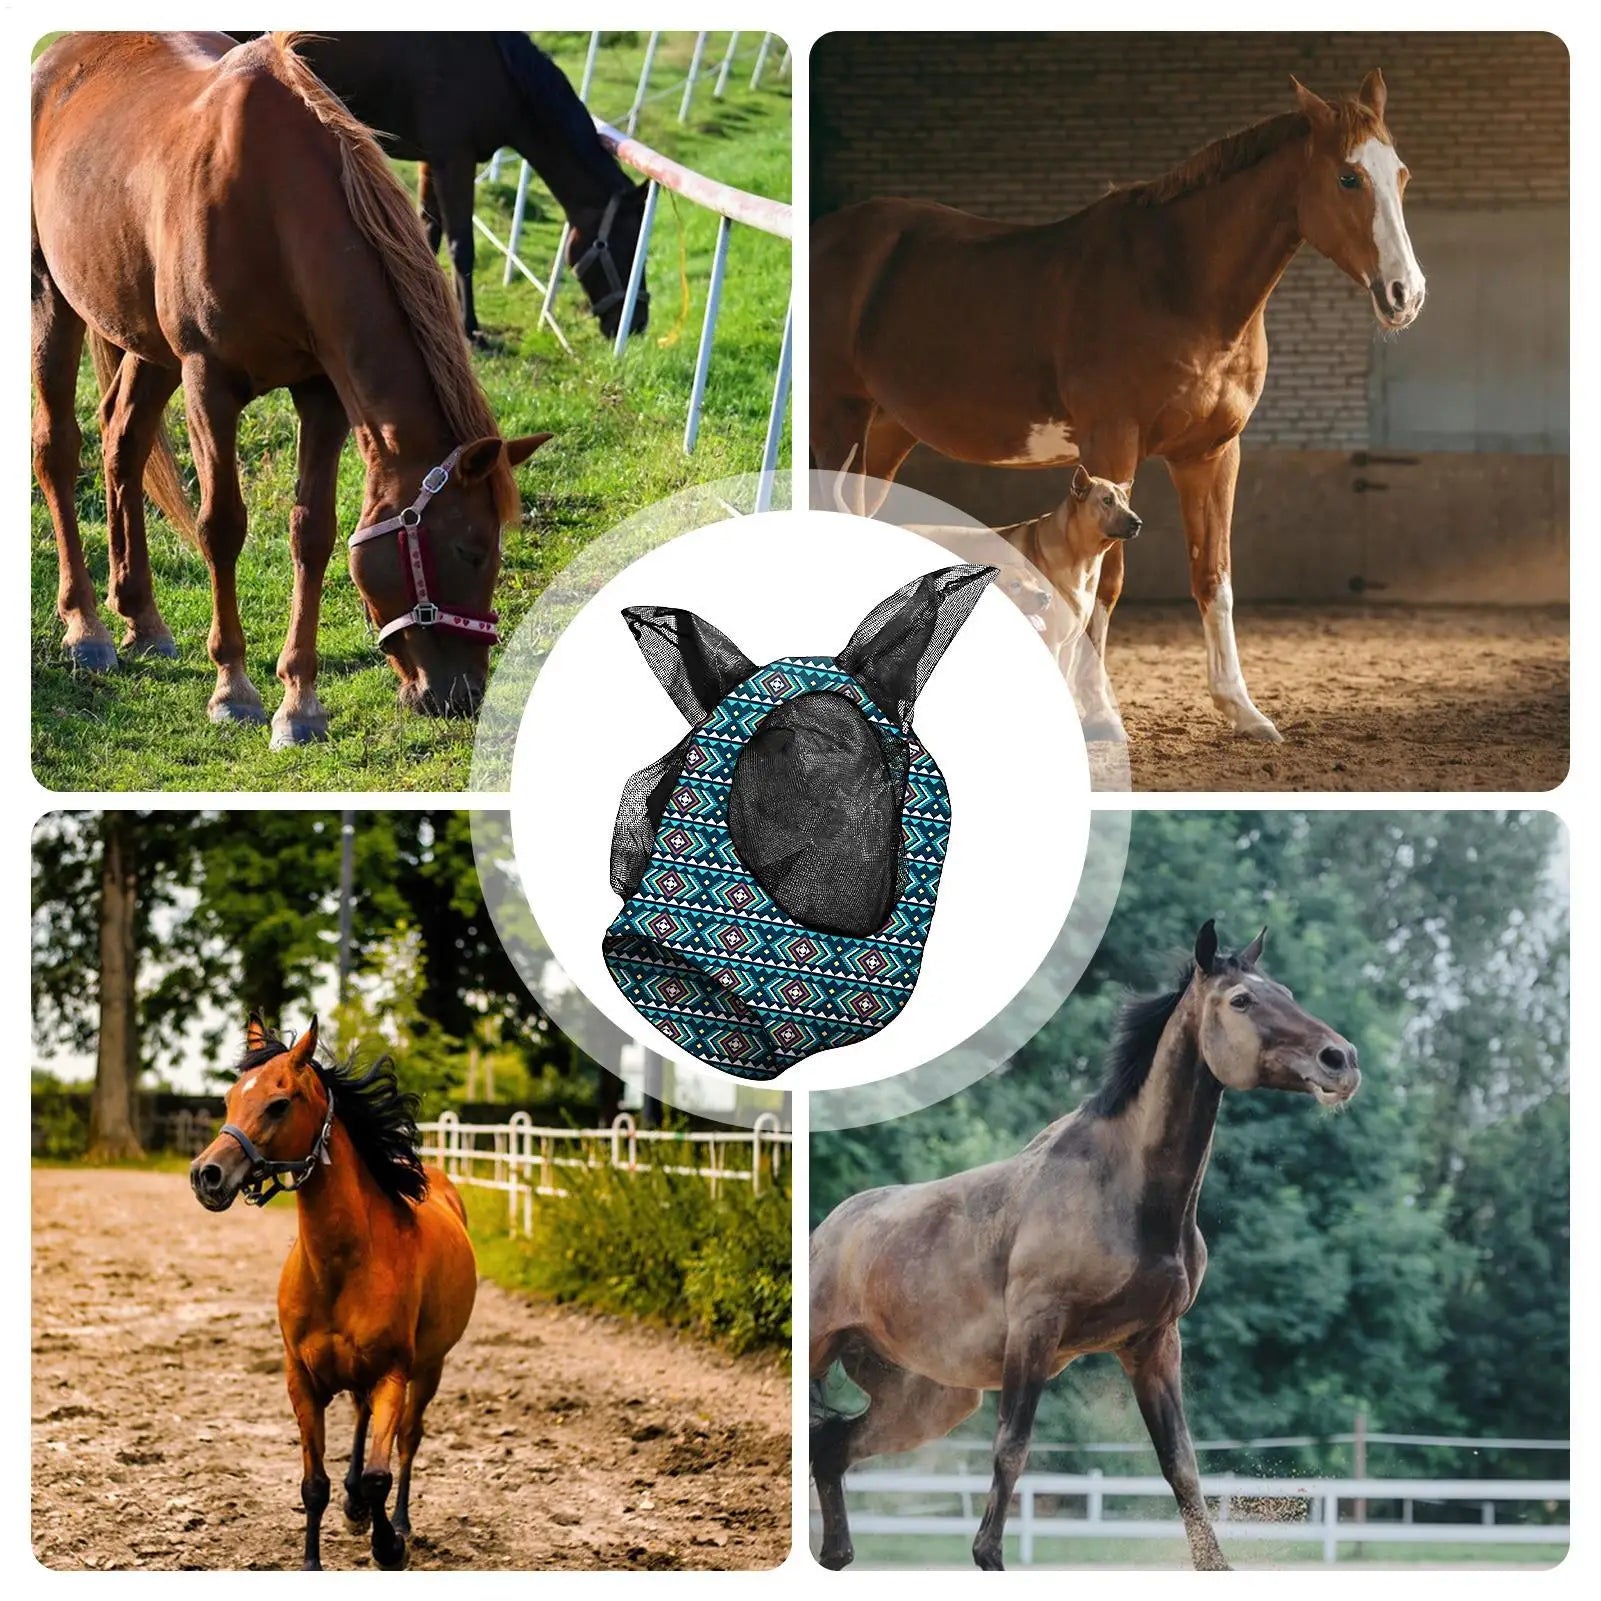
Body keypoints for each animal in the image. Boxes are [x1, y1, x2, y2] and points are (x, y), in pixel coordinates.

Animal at [31, 32, 548, 745]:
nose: (464, 695)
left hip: (147, 344)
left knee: (122, 447)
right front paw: (234, 690)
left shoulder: (323, 394)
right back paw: (87, 627)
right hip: (54, 299)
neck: (274, 209)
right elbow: (221, 526)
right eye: (470, 551)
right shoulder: (208, 383)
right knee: (59, 448)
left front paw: (299, 703)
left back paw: (142, 618)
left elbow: (314, 533)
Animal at [189, 1017, 477, 1571]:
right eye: (229, 1099)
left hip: (428, 1369)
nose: (206, 1175)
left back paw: (397, 1521)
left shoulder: (392, 1375)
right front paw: (314, 1556)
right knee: (361, 1422)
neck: (342, 1268)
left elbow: (381, 1474)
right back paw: (354, 1505)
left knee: (407, 1441)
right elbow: (314, 1485)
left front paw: (389, 1546)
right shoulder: (301, 1379)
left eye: (279, 1104)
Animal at [253, 32, 652, 344]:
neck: (497, 70)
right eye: (626, 247)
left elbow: (426, 231)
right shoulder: (455, 161)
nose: (637, 323)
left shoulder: (434, 161)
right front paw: (470, 329)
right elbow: (461, 247)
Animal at [809, 921, 1361, 1571]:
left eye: (1287, 991)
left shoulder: (1153, 1344)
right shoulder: (1035, 1331)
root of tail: (827, 1231)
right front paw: (988, 1555)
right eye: (1242, 1000)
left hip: (930, 1400)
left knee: (830, 1447)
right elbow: (1012, 1450)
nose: (1341, 1060)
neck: (1125, 1188)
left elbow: (1182, 1467)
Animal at [811, 71, 1426, 743]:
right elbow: (1107, 584)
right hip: (835, 421)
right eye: (1348, 177)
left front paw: (1242, 709)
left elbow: (1214, 576)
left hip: (885, 432)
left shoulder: (1211, 454)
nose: (1406, 294)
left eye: (1400, 175)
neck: (1179, 283)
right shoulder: (1113, 444)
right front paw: (1100, 713)